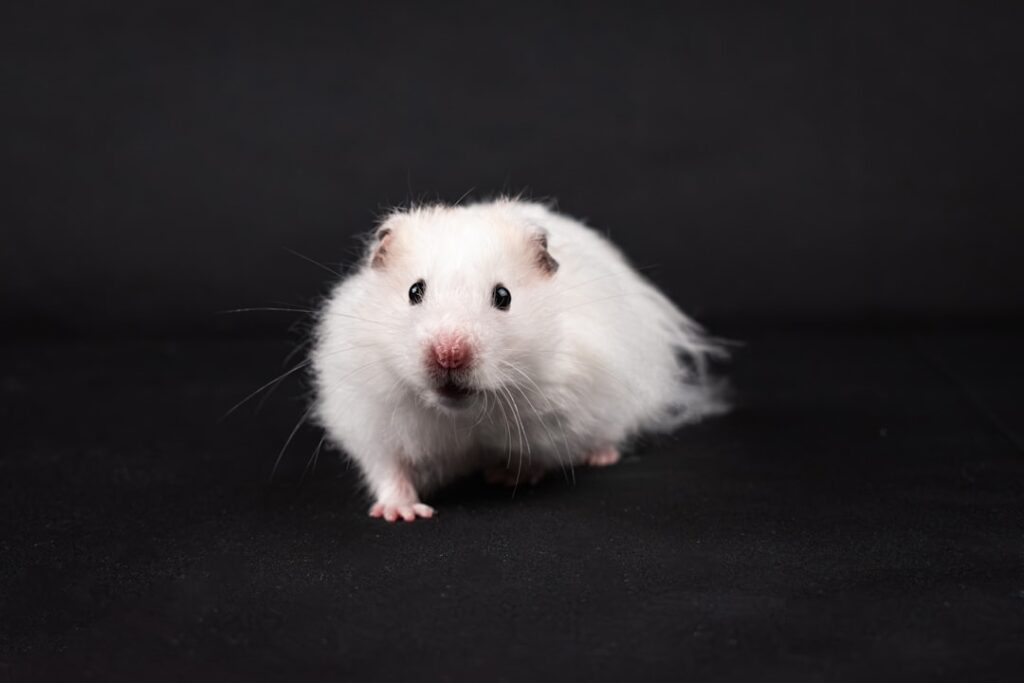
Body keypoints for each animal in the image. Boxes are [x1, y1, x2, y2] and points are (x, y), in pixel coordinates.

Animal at [311, 199, 727, 522]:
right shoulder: (369, 415)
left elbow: (540, 453)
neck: (462, 415)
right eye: (415, 291)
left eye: (503, 296)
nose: (449, 354)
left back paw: (601, 456)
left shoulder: (563, 410)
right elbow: (389, 469)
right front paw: (402, 513)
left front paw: (507, 477)